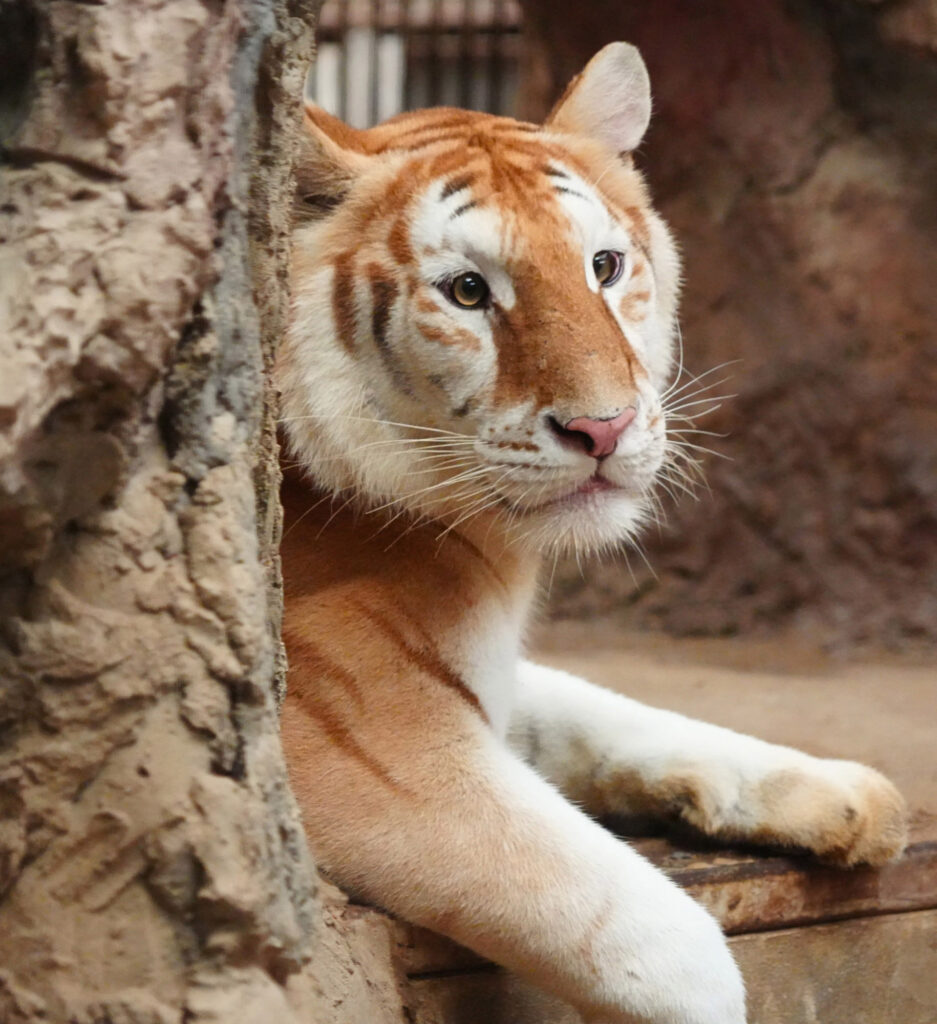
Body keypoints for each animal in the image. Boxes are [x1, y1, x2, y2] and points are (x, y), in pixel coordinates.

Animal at [278, 41, 909, 1024]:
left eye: (603, 267)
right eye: (468, 292)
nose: (603, 429)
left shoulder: (486, 676)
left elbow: (609, 710)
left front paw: (840, 791)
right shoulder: (364, 749)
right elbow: (666, 941)